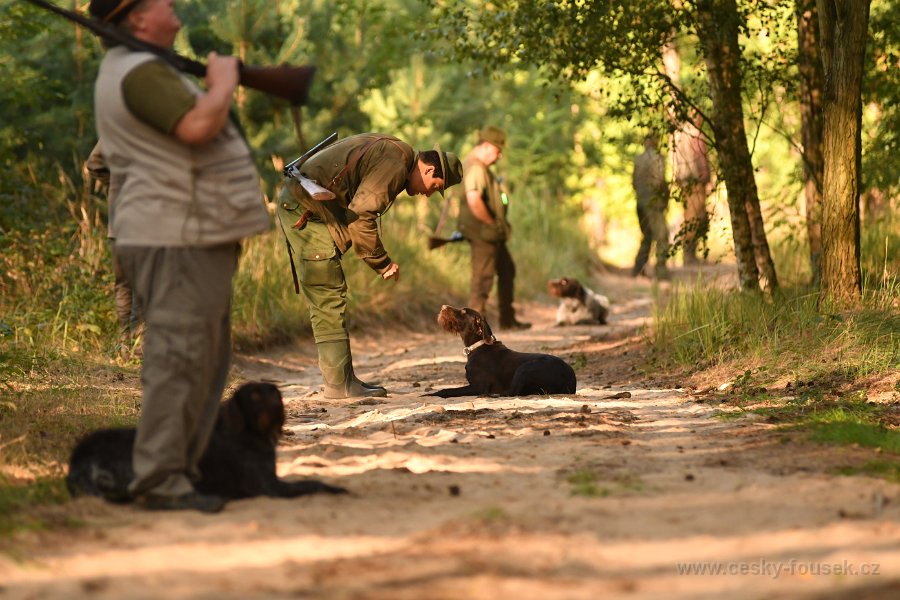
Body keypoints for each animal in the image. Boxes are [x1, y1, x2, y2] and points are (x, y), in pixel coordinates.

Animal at [66, 384, 348, 502]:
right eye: (254, 395)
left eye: (275, 392)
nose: (277, 403)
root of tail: (78, 460)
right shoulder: (271, 487)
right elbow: (311, 483)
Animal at [428, 304, 576, 398]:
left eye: (464, 312)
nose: (443, 307)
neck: (478, 346)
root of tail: (570, 380)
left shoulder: (479, 386)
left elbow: (445, 390)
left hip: (524, 368)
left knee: (511, 392)